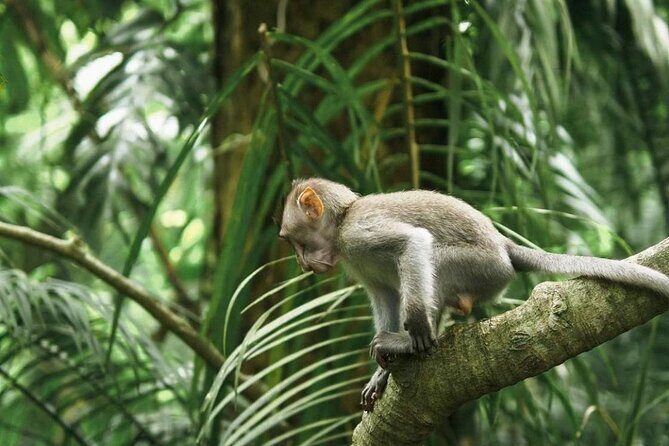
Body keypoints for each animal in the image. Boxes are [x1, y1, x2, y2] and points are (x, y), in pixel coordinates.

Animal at [278, 177, 669, 411]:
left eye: (292, 240)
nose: (300, 262)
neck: (342, 221)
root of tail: (502, 246)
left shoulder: (359, 233)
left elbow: (413, 242)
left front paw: (416, 332)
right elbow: (384, 295)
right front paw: (381, 374)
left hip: (481, 267)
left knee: (433, 256)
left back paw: (418, 341)